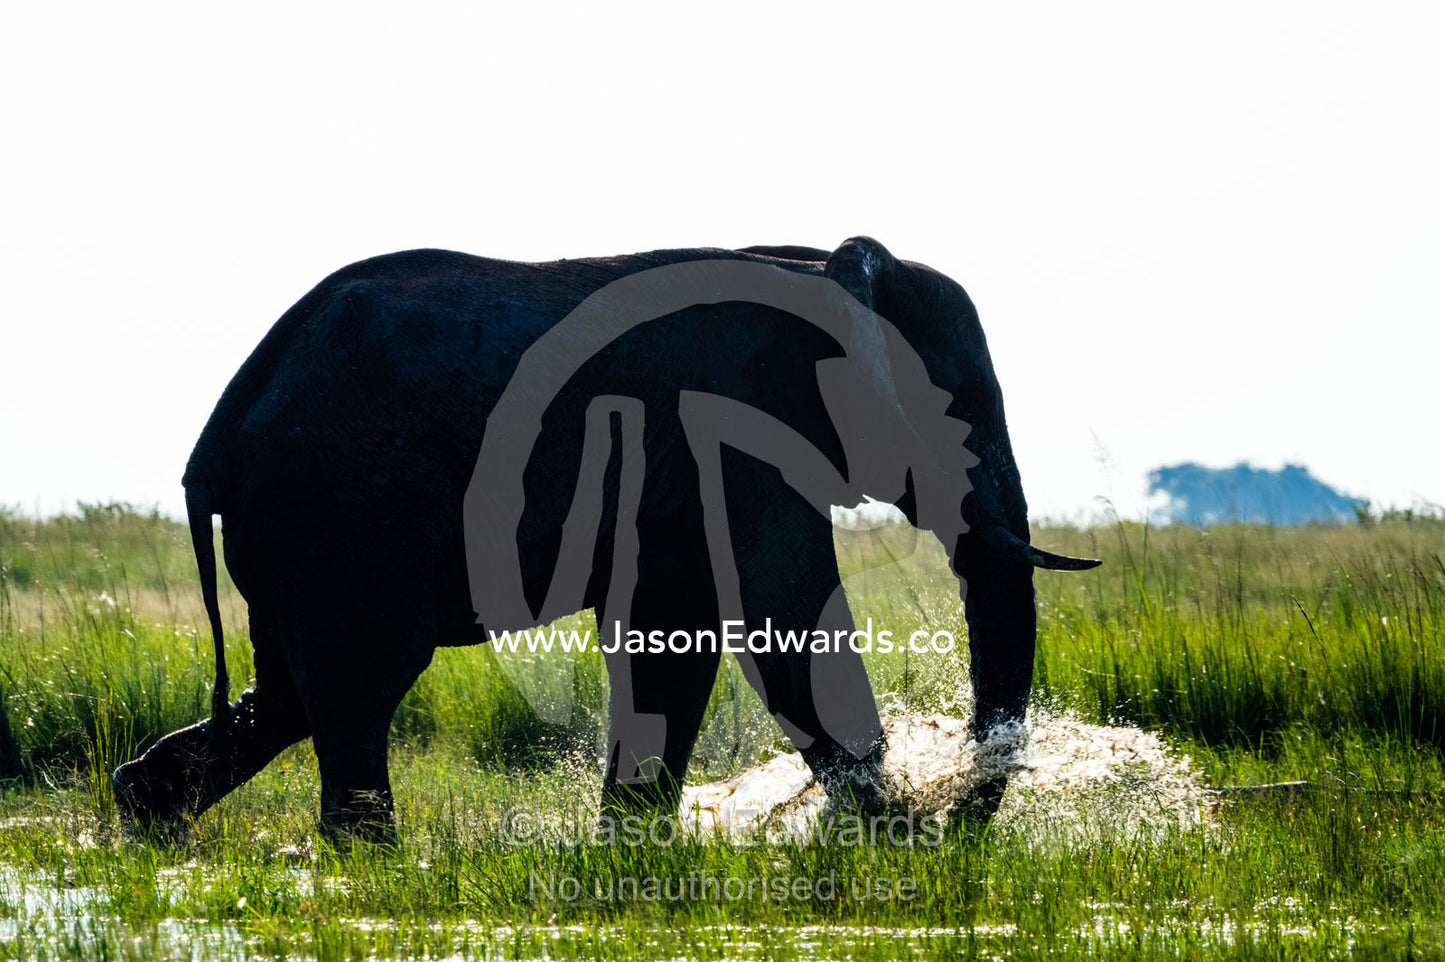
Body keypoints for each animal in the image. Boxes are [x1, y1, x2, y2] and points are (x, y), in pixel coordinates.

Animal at [112, 236, 1099, 841]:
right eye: (951, 410)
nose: (956, 822)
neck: (818, 264)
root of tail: (219, 431)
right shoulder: (739, 432)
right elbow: (779, 624)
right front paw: (896, 845)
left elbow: (673, 636)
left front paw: (631, 857)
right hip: (338, 510)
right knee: (358, 686)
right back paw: (374, 868)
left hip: (298, 530)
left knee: (289, 693)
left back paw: (143, 814)